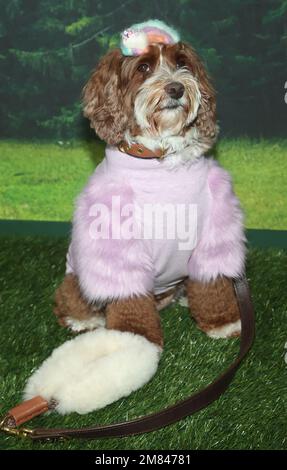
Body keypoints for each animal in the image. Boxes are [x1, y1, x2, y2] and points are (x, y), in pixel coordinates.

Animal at [23, 20, 246, 414]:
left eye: (182, 63)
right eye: (143, 67)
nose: (175, 87)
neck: (161, 164)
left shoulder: (212, 229)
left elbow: (214, 282)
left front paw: (221, 322)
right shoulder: (117, 245)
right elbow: (129, 306)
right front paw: (135, 346)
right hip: (77, 276)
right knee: (70, 297)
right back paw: (83, 319)